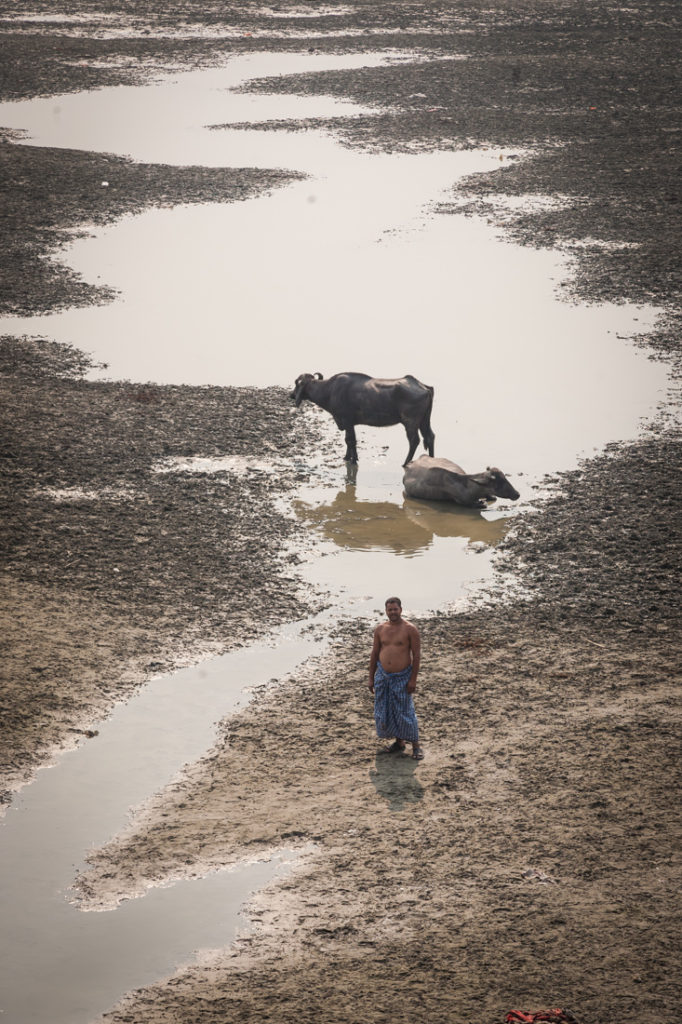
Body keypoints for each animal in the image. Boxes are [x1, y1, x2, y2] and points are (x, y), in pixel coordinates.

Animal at [288, 370, 432, 466]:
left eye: (296, 383)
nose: (291, 395)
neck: (329, 390)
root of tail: (424, 387)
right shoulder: (349, 424)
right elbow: (347, 440)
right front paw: (347, 457)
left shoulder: (347, 421)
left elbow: (351, 440)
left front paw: (353, 460)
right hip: (424, 421)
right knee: (430, 436)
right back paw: (431, 458)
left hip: (410, 422)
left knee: (414, 440)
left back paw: (406, 463)